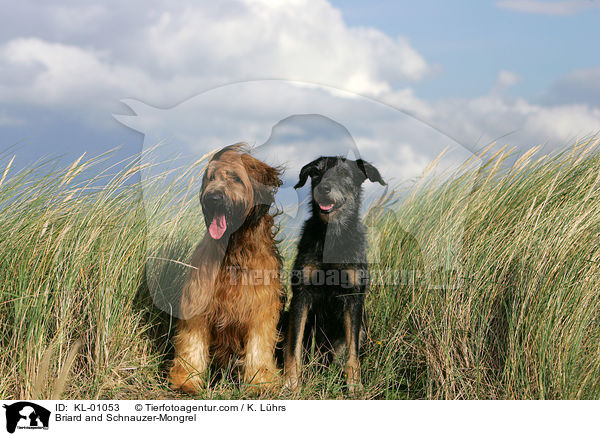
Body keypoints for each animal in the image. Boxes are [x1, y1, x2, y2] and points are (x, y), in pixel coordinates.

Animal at [168, 145, 282, 394]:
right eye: (211, 178)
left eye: (236, 178)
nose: (213, 198)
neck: (234, 249)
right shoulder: (199, 297)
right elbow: (192, 340)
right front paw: (186, 380)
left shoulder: (261, 305)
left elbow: (259, 345)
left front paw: (259, 383)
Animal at [284, 156, 386, 392]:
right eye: (316, 173)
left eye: (344, 174)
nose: (323, 188)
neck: (332, 236)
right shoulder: (301, 295)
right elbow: (294, 348)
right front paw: (291, 382)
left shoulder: (354, 298)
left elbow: (352, 351)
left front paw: (354, 384)